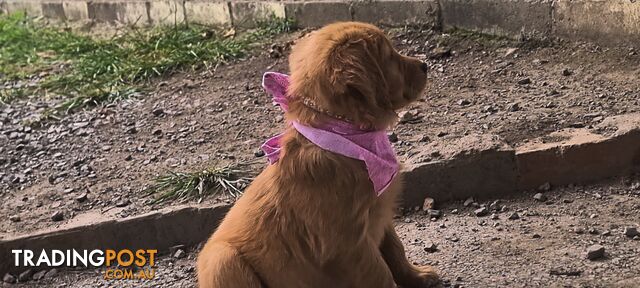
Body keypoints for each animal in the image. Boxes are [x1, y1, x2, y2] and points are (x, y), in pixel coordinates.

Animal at [196, 22, 436, 288]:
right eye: (388, 56)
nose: (425, 65)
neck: (342, 136)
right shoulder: (347, 243)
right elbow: (380, 273)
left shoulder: (380, 213)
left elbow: (395, 249)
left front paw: (418, 276)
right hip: (222, 260)